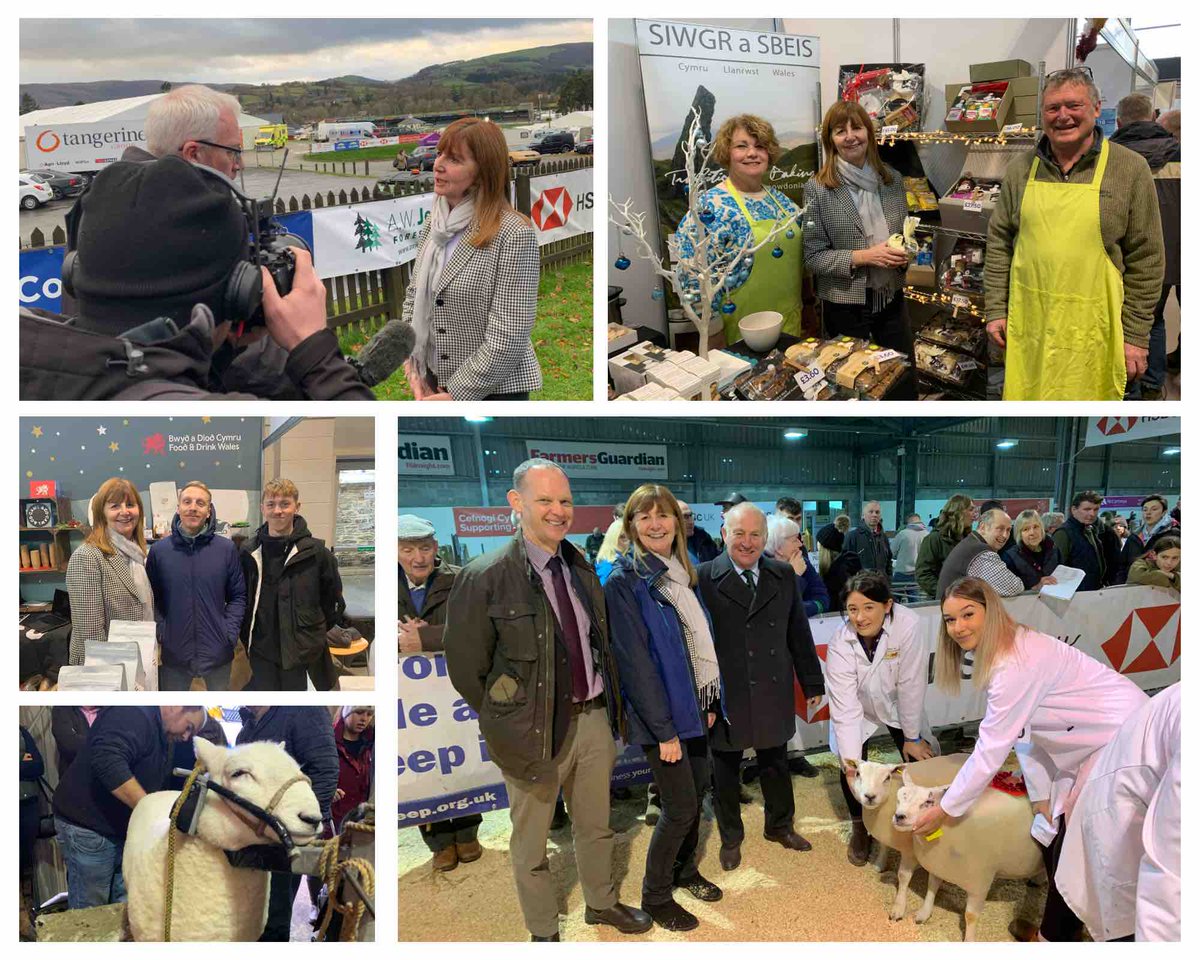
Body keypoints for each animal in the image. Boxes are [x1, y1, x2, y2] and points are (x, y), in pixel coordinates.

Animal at [849, 758, 969, 921]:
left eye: (887, 778)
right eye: (858, 774)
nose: (870, 796)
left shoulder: (916, 850)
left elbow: (905, 876)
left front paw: (900, 907)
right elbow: (884, 846)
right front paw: (880, 864)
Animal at [888, 768, 1046, 940]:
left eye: (928, 802)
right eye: (899, 798)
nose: (899, 816)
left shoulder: (979, 881)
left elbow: (970, 915)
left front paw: (969, 939)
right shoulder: (939, 863)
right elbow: (932, 886)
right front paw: (924, 913)